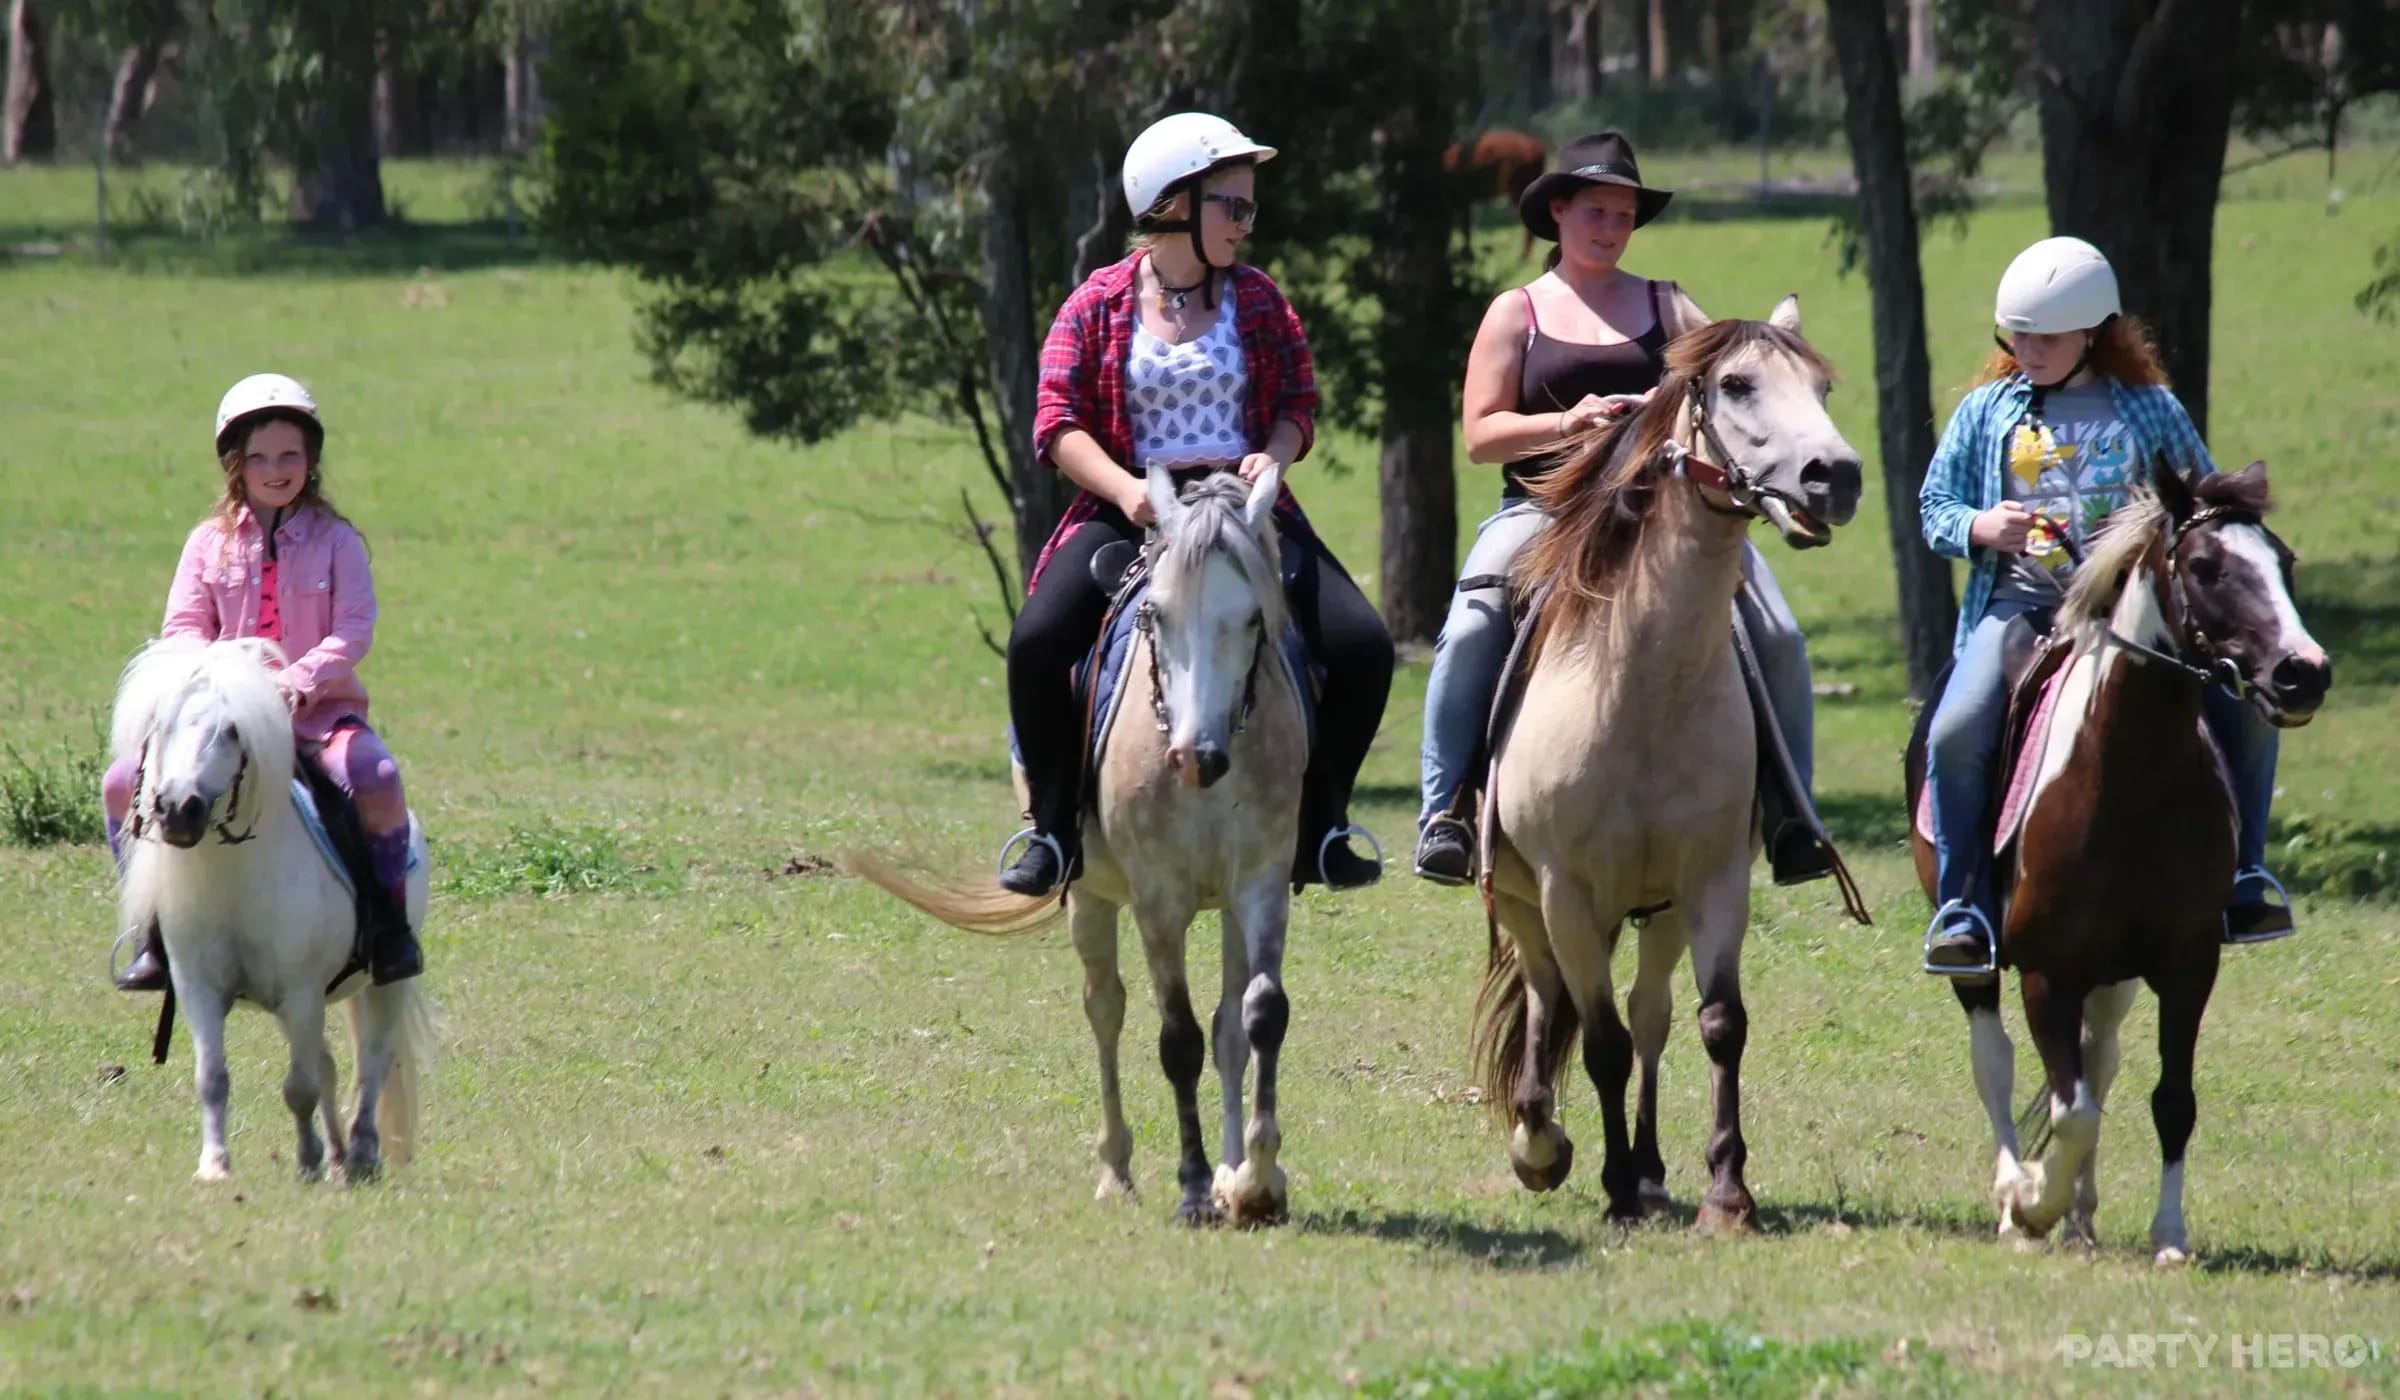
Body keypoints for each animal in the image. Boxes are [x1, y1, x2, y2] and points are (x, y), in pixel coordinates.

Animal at [110, 636, 433, 1183]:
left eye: (233, 731)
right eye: (162, 725)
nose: (178, 810)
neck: (235, 880)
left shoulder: (300, 994)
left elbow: (299, 1087)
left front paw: (306, 1162)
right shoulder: (199, 988)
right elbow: (212, 1077)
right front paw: (215, 1165)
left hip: (383, 987)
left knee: (372, 1062)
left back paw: (361, 1154)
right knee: (329, 1064)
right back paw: (340, 1154)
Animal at [849, 467, 1307, 1227]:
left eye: (1252, 619)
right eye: (1157, 615)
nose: (1195, 758)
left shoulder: (1262, 883)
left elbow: (1260, 1015)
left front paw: (1256, 1181)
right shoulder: (1157, 900)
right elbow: (1176, 1039)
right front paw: (1191, 1188)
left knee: (1228, 1027)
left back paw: (1229, 1170)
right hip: (1091, 897)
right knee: (1106, 1009)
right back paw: (1117, 1171)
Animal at [1469, 299, 1864, 1233]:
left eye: (1822, 386)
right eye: (1737, 384)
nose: (1835, 475)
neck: (1641, 684)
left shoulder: (1712, 880)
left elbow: (1716, 1023)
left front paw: (1725, 1192)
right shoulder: (1566, 893)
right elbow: (1599, 1042)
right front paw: (1608, 1183)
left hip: (1659, 910)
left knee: (1648, 1015)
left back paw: (1646, 1170)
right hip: (1526, 900)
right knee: (1547, 996)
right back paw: (1541, 1143)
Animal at [1903, 462, 2330, 1262]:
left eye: (2284, 561)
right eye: (2206, 566)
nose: (2303, 673)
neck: (2131, 779)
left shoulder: (2187, 965)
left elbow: (2168, 1101)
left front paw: (2167, 1236)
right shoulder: (2046, 973)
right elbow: (2069, 1112)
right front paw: (2030, 1204)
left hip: (2115, 978)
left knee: (2098, 1064)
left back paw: (2082, 1213)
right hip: (1982, 969)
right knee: (1997, 1063)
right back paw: (2015, 1197)